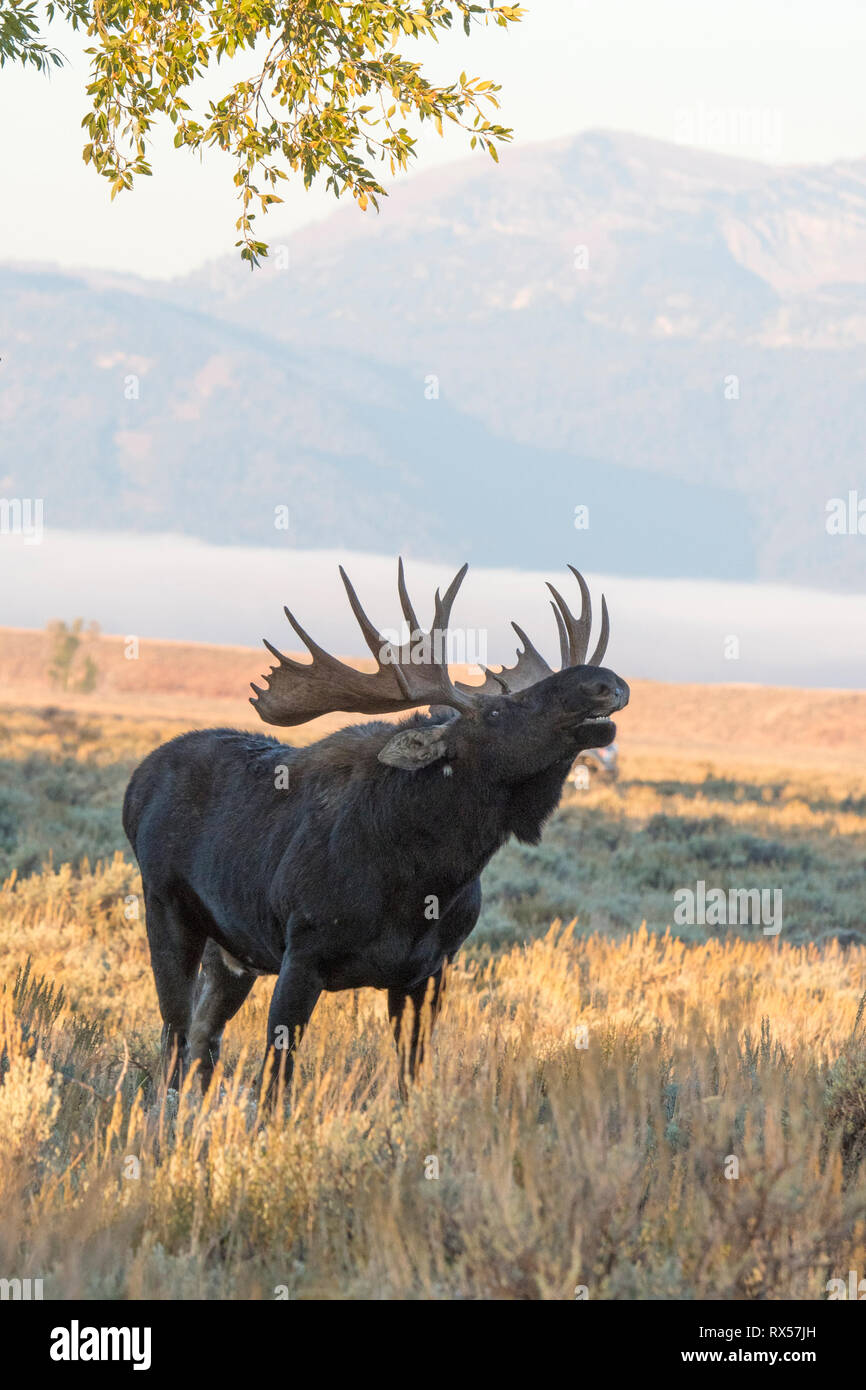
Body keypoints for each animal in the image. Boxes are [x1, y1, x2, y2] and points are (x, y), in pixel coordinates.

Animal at [122, 558, 631, 1100]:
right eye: (497, 711)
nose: (603, 682)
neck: (427, 879)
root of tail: (135, 784)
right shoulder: (302, 957)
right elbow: (276, 1085)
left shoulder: (426, 974)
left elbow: (410, 1082)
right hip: (167, 912)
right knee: (175, 1036)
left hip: (232, 953)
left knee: (202, 1037)